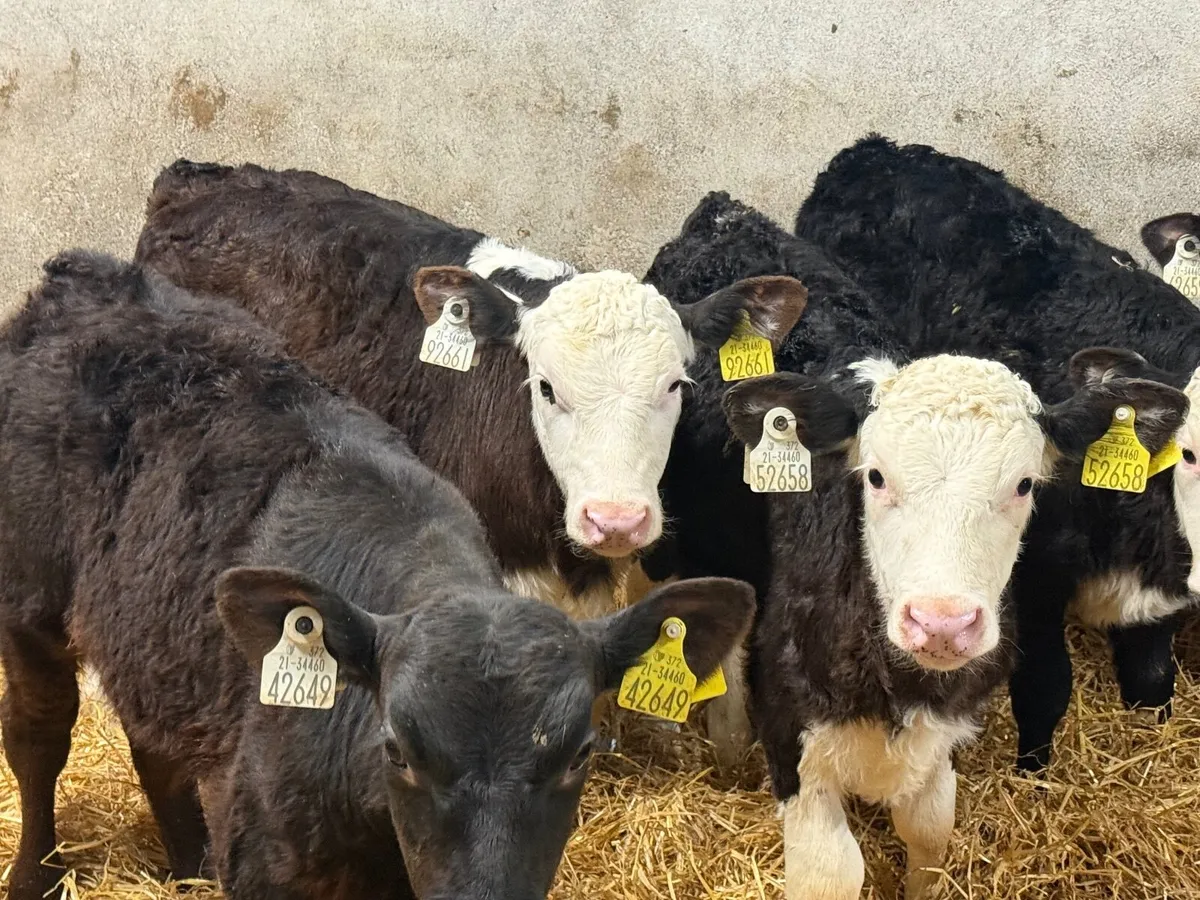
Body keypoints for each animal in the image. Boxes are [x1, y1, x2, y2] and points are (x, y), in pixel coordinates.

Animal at [0, 250, 756, 900]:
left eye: (581, 754)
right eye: (398, 748)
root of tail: (86, 277)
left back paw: (188, 864)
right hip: (27, 606)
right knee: (39, 735)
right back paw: (35, 875)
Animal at [642, 192, 1188, 898]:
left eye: (1023, 484)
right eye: (875, 476)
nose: (942, 622)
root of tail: (721, 211)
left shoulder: (941, 731)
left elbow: (930, 831)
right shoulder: (793, 727)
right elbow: (831, 870)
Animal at [795, 136, 1200, 770]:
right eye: (1191, 453)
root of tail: (872, 150)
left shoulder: (1158, 602)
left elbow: (1153, 682)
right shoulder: (1031, 580)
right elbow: (1046, 685)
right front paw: (1033, 770)